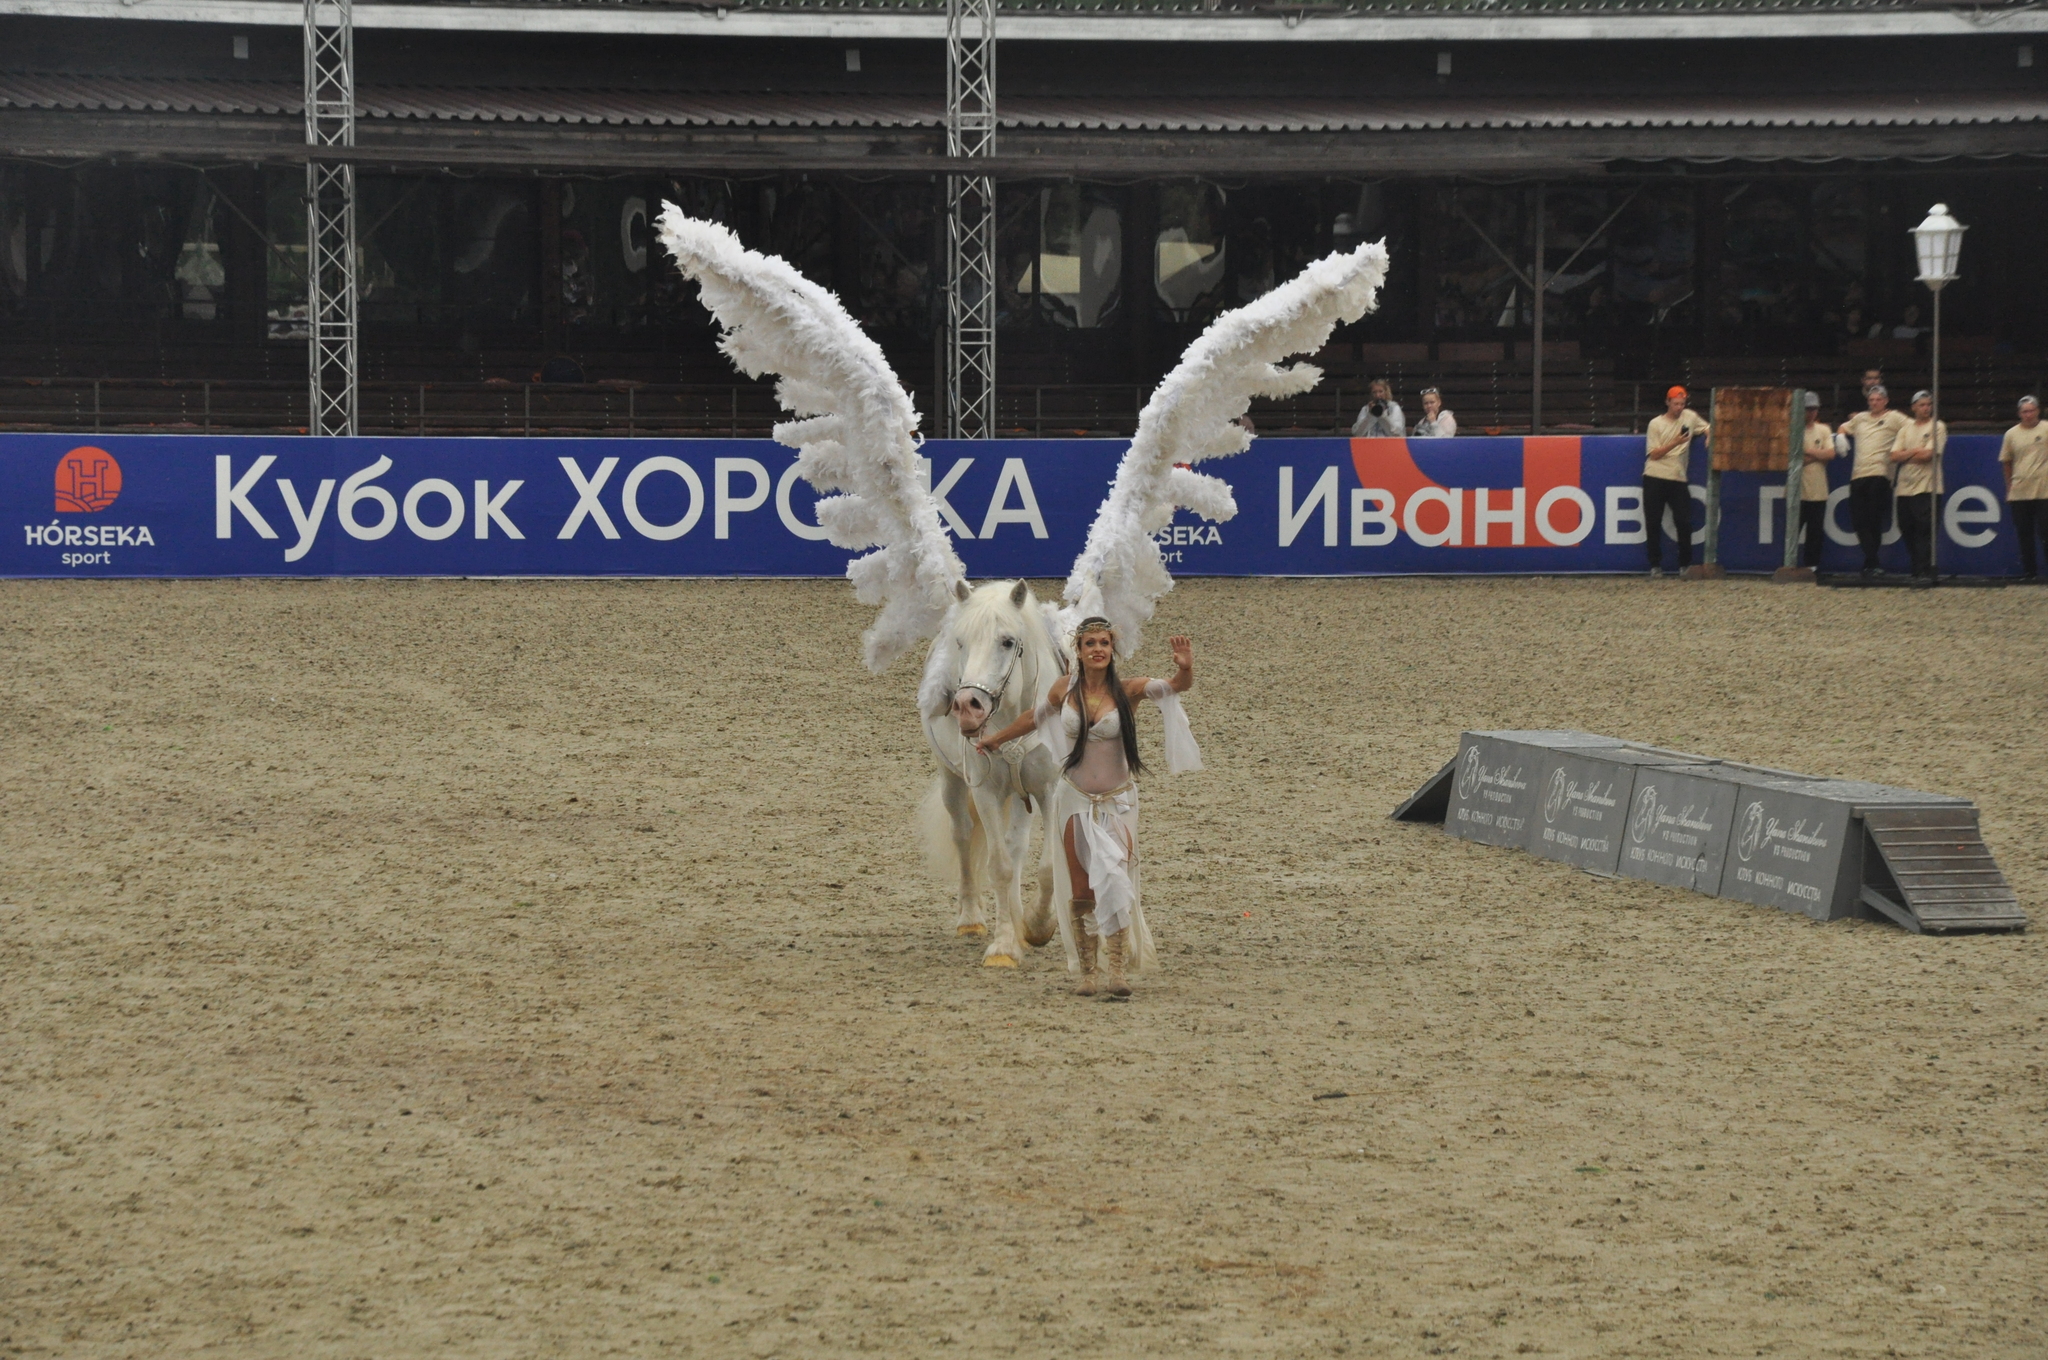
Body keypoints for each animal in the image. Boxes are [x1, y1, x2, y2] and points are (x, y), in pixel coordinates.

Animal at [921, 573, 1064, 966]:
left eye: (1008, 641)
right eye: (961, 642)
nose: (967, 706)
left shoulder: (1047, 789)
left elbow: (1046, 867)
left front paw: (1037, 926)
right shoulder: (984, 792)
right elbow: (998, 867)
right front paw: (1003, 946)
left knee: (1016, 848)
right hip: (953, 781)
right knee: (963, 835)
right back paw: (971, 919)